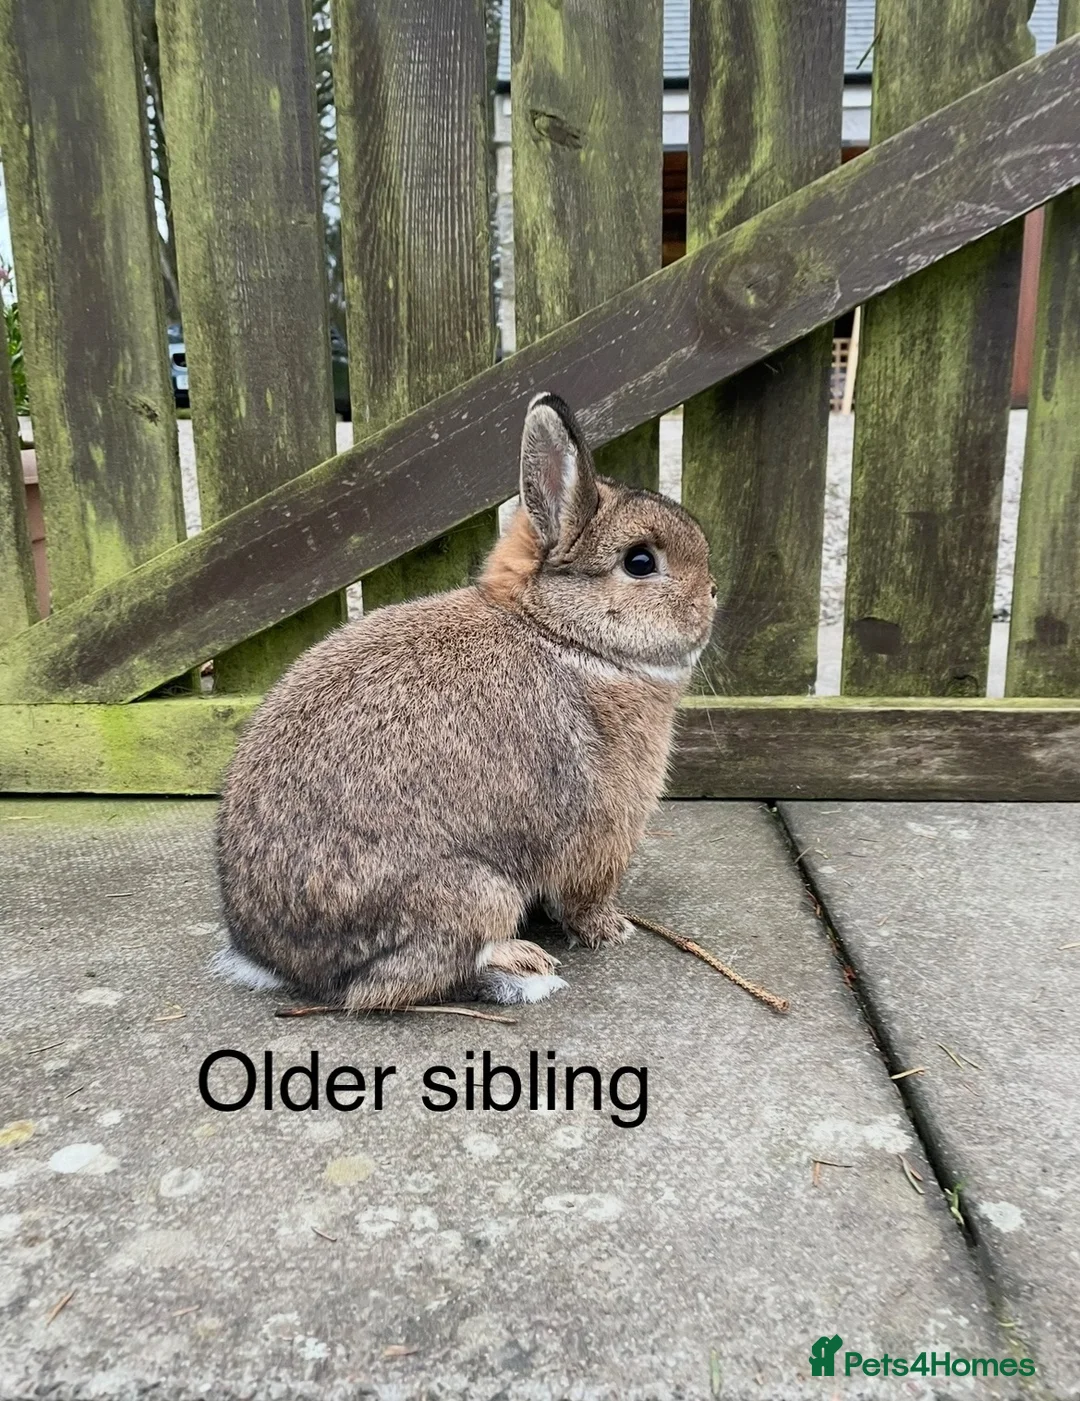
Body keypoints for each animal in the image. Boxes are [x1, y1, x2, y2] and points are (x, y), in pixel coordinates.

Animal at [213, 392, 716, 1009]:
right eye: (640, 562)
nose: (713, 593)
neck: (563, 635)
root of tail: (277, 961)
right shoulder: (600, 831)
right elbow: (584, 896)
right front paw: (610, 930)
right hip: (475, 894)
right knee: (393, 985)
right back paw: (523, 965)